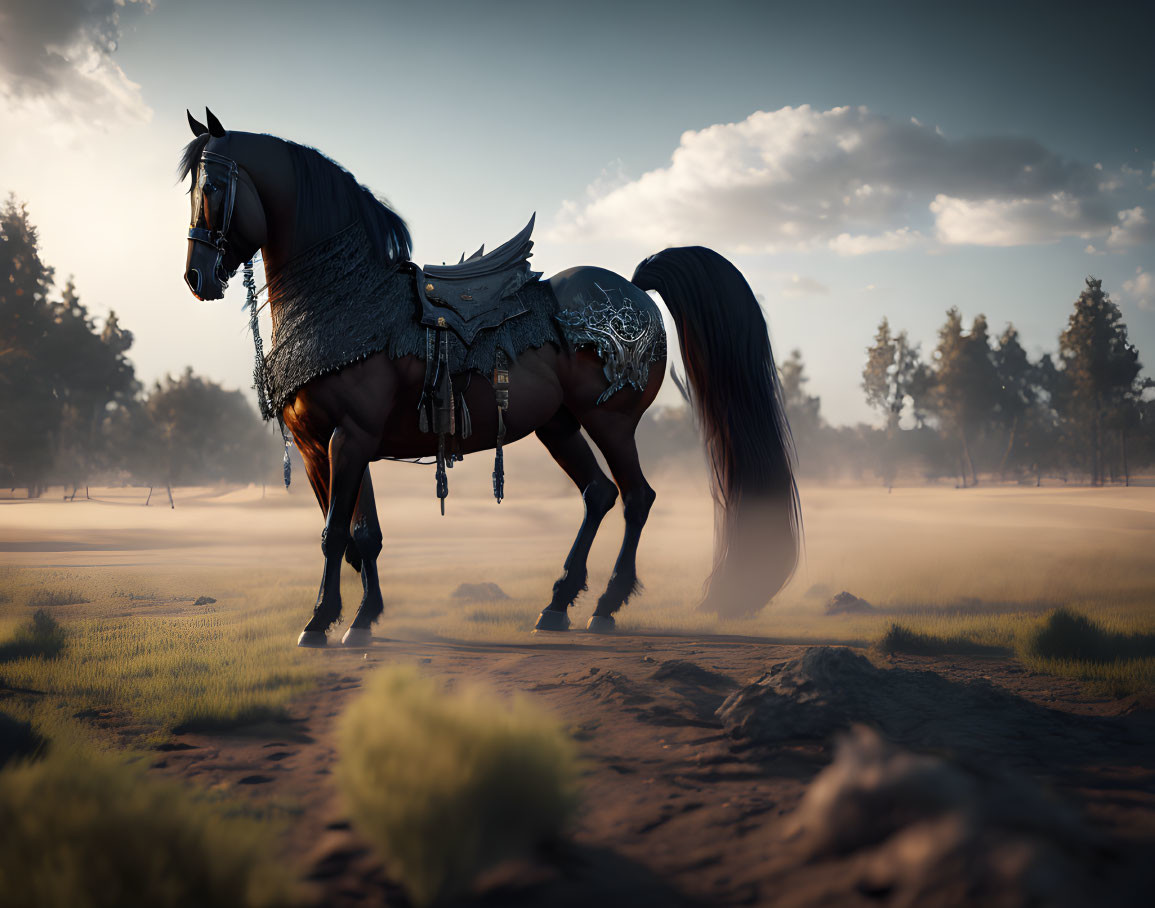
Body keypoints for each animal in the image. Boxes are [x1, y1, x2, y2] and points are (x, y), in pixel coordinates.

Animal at [177, 108, 803, 642]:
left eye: (211, 190)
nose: (196, 278)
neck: (347, 302)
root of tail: (632, 283)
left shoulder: (349, 437)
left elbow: (337, 534)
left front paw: (319, 623)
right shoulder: (319, 446)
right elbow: (361, 537)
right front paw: (361, 617)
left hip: (610, 421)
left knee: (636, 497)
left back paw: (605, 605)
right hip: (558, 425)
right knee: (600, 494)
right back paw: (558, 604)